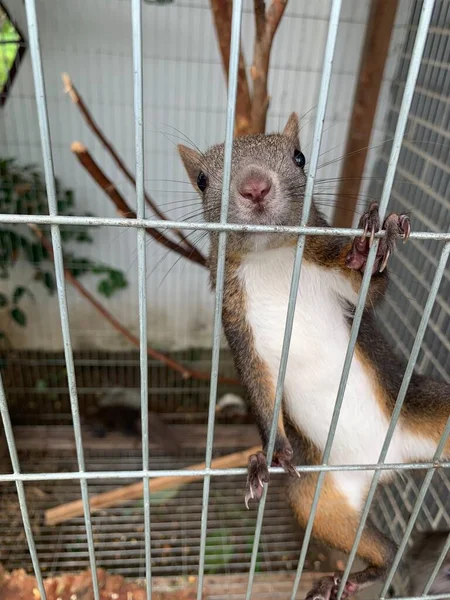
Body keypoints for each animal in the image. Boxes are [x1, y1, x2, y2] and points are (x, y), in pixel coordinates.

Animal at [178, 111, 450, 600]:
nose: (254, 187)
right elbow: (259, 387)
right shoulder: (238, 326)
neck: (271, 260)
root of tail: (386, 465)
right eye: (203, 180)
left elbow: (369, 291)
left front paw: (370, 245)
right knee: (380, 548)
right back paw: (355, 576)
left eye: (299, 157)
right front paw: (269, 455)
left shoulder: (334, 279)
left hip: (429, 410)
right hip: (318, 499)